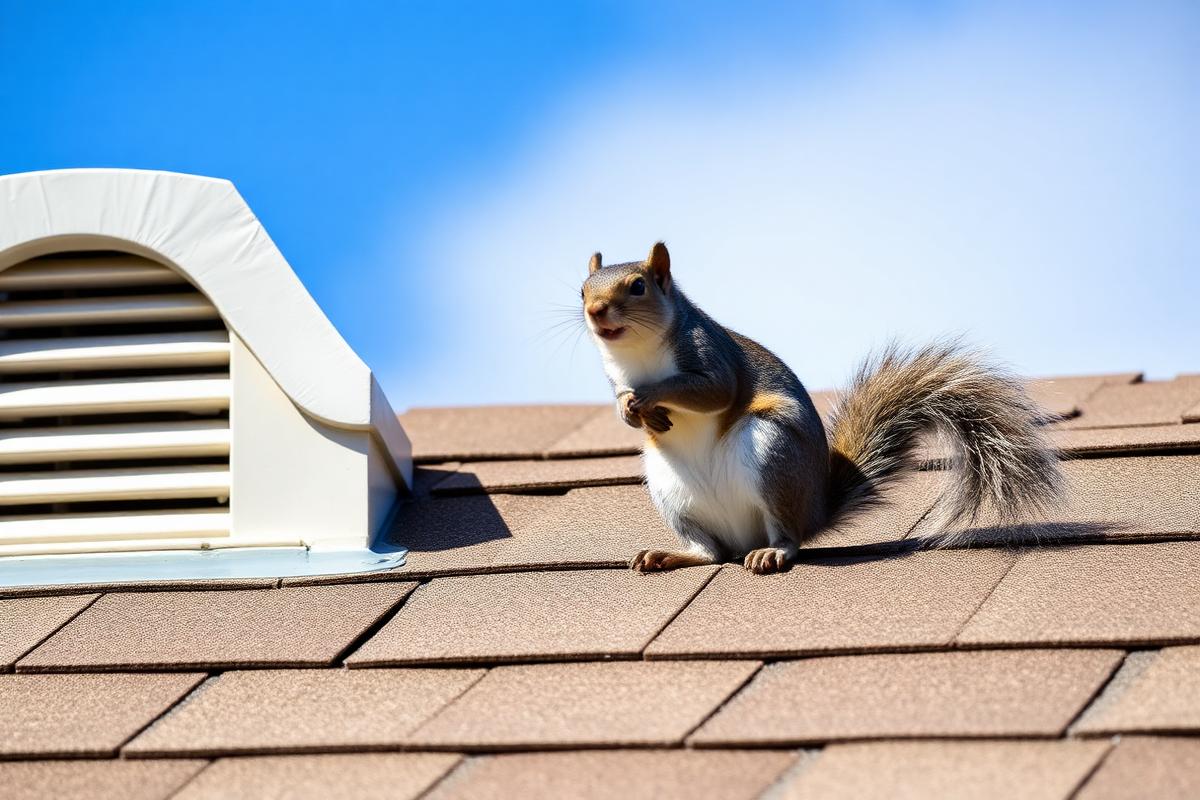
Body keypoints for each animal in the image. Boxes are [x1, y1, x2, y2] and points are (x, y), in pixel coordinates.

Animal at [581, 242, 1064, 574]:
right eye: (583, 289)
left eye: (639, 286)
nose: (595, 311)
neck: (638, 356)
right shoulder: (615, 376)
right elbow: (622, 398)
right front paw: (629, 410)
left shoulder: (708, 352)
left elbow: (715, 391)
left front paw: (650, 398)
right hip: (670, 488)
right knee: (711, 552)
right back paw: (671, 555)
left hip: (772, 453)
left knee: (788, 535)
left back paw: (773, 551)